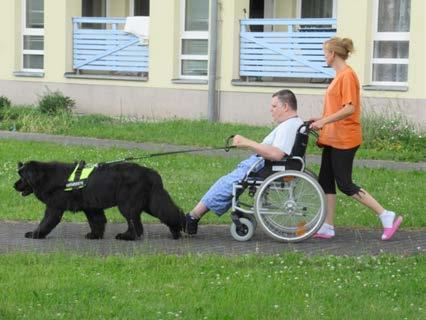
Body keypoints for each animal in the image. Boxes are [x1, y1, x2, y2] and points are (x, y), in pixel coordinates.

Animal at [13, 162, 186, 240]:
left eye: (22, 177)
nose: (14, 185)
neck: (48, 178)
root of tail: (150, 173)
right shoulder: (91, 207)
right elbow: (97, 222)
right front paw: (94, 235)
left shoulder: (54, 207)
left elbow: (46, 222)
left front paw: (35, 234)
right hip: (150, 202)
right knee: (169, 212)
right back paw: (177, 230)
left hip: (127, 204)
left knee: (135, 223)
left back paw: (127, 236)